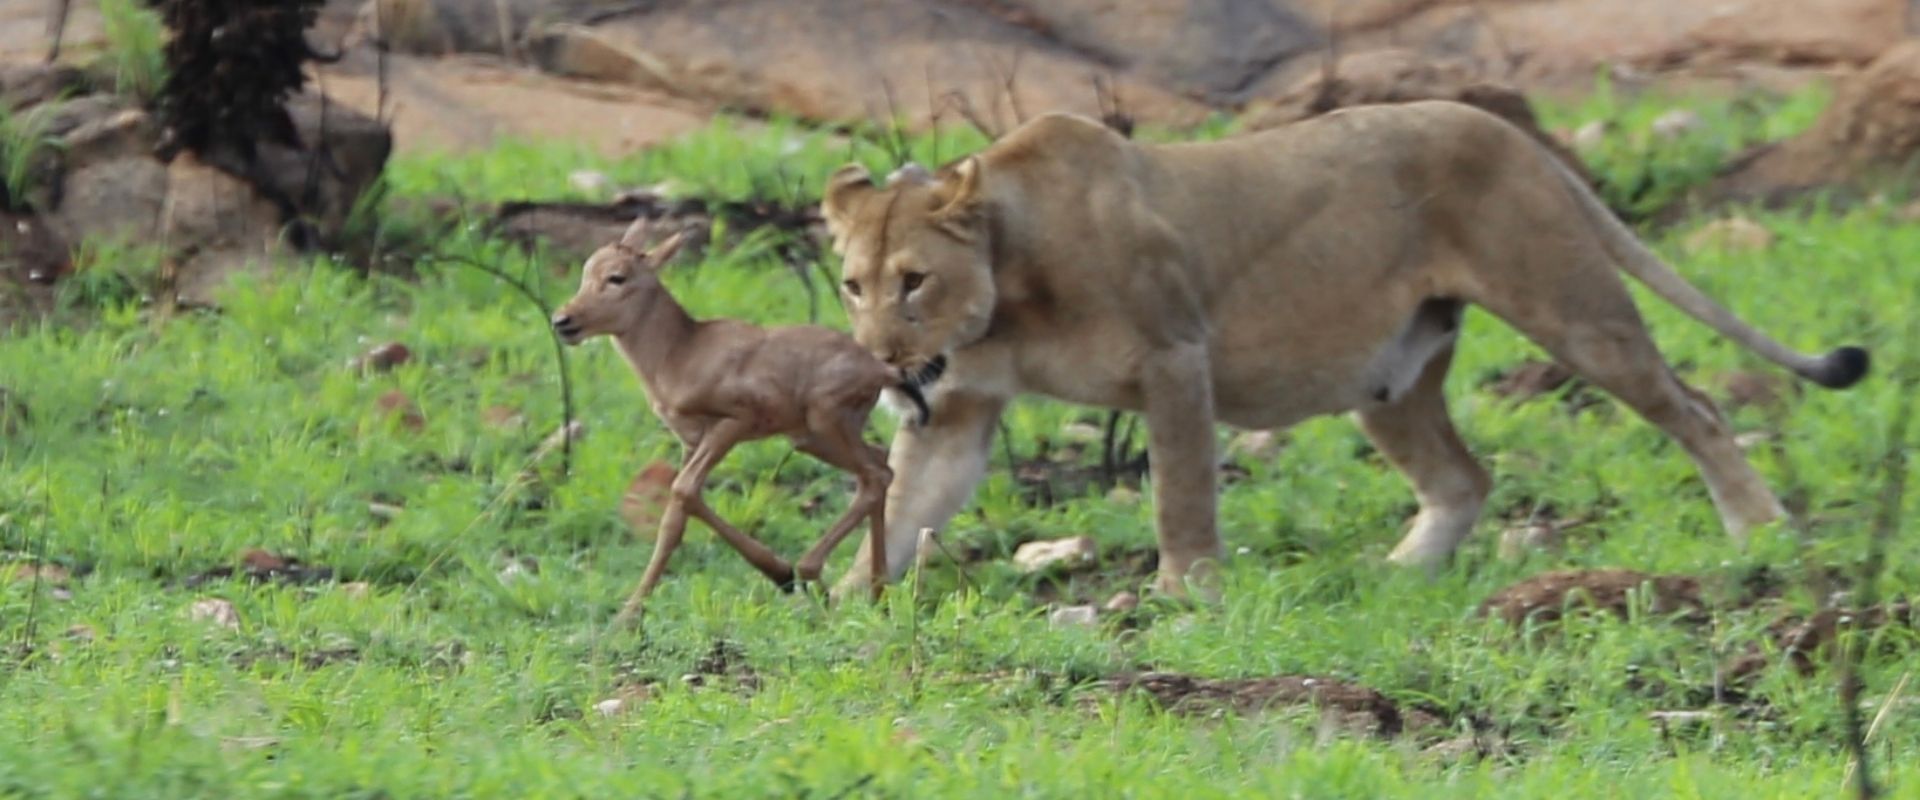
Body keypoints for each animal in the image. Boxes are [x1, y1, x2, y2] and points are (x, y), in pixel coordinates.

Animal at [818, 100, 1870, 599]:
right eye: (854, 283)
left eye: (915, 281)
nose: (879, 360)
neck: (1004, 296)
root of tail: (1515, 135)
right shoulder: (958, 410)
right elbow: (907, 509)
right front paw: (846, 596)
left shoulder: (1175, 356)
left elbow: (1180, 494)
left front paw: (1185, 593)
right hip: (1387, 377)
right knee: (1463, 478)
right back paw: (1401, 574)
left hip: (1571, 307)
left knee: (1697, 408)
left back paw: (1762, 533)